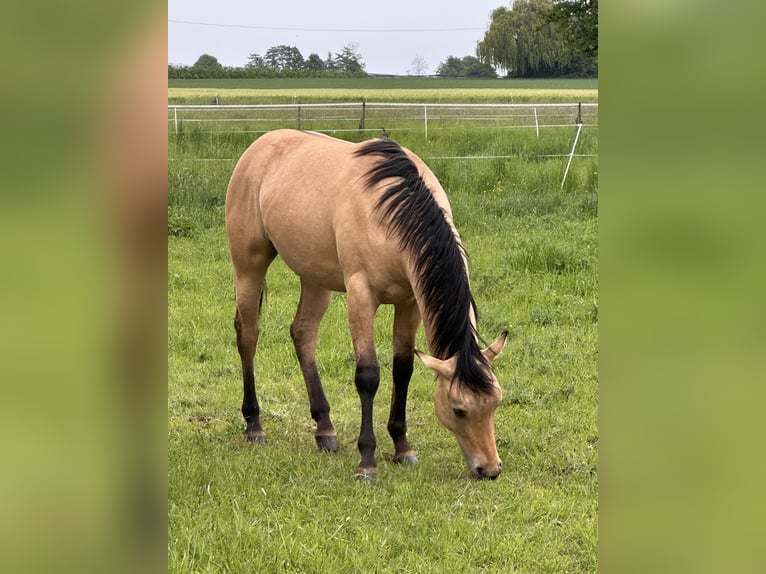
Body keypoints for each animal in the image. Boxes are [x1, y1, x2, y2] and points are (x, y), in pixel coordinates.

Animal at [225, 129, 508, 480]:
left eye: (496, 402)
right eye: (459, 410)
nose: (490, 468)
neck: (391, 210)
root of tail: (260, 145)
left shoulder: (410, 303)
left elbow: (403, 369)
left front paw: (402, 447)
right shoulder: (361, 296)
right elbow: (368, 375)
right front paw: (367, 461)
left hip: (315, 278)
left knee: (303, 334)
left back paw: (325, 429)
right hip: (249, 265)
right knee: (248, 336)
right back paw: (254, 425)